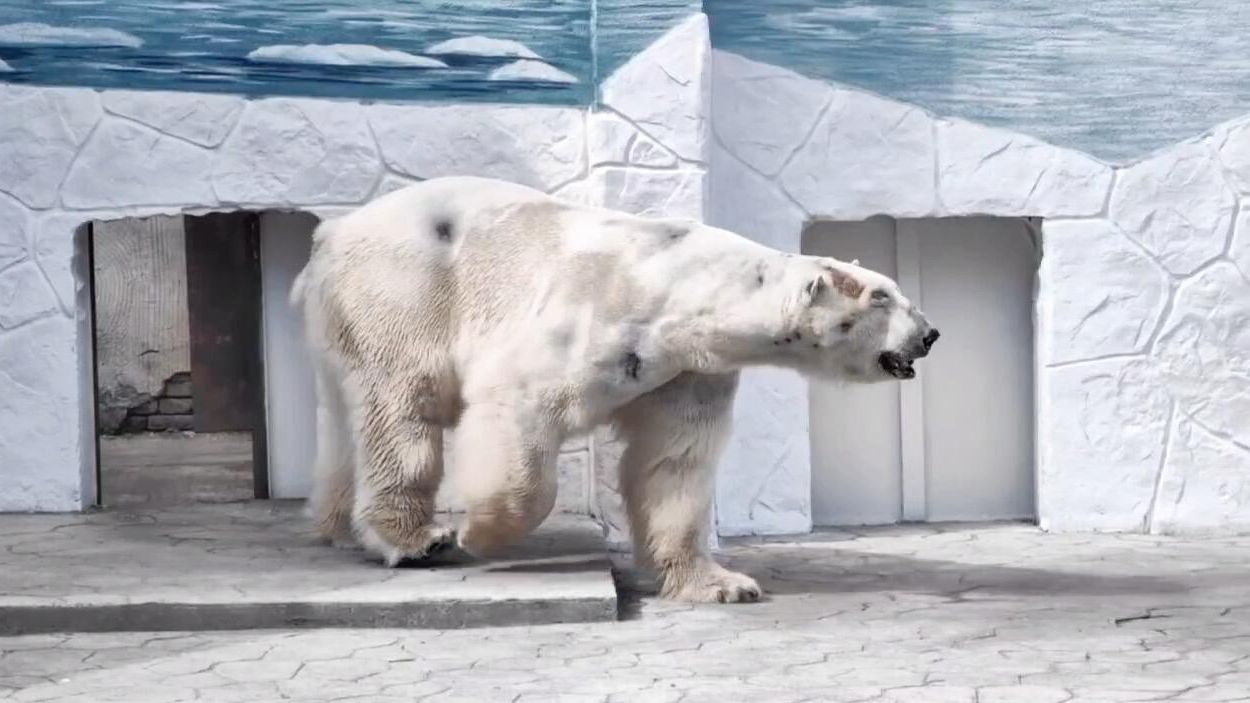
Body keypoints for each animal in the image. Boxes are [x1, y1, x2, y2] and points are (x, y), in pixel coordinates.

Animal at [291, 175, 938, 603]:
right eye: (883, 297)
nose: (930, 334)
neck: (681, 291)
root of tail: (332, 231)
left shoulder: (688, 369)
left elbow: (674, 461)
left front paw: (723, 584)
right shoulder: (592, 318)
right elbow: (519, 412)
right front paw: (480, 532)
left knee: (346, 419)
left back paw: (337, 523)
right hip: (403, 293)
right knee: (402, 407)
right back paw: (415, 538)